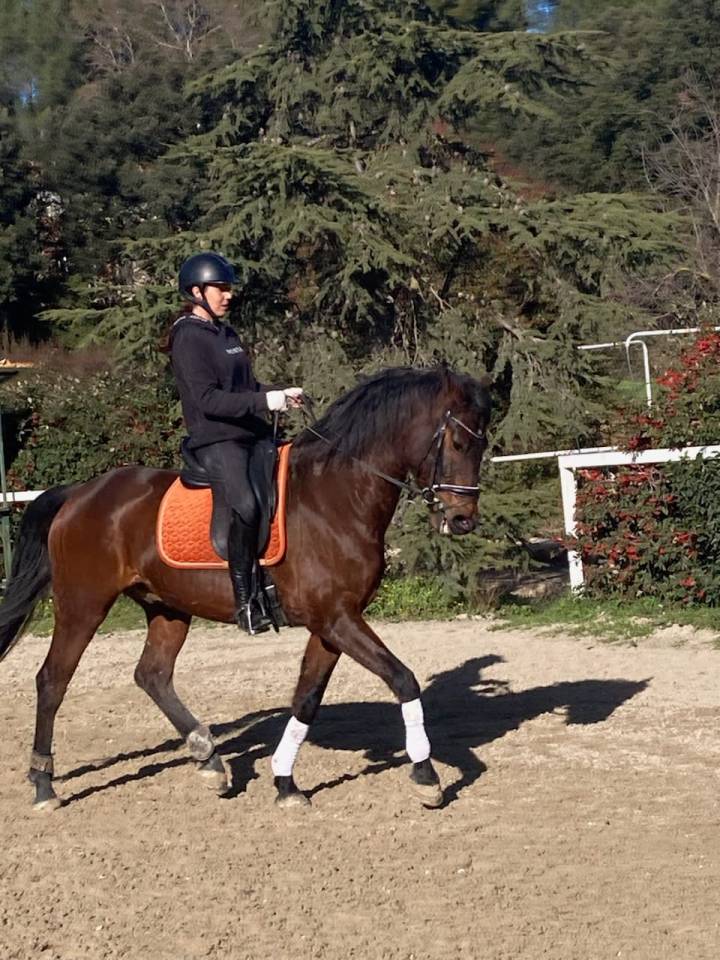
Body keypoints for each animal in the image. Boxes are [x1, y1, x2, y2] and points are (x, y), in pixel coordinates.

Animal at [0, 365, 491, 811]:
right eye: (458, 443)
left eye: (482, 445)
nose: (463, 520)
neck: (337, 497)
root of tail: (79, 493)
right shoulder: (336, 618)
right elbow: (403, 679)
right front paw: (426, 775)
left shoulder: (332, 623)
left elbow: (306, 699)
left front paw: (286, 783)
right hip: (83, 604)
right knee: (53, 680)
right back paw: (44, 785)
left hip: (168, 607)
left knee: (152, 675)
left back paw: (209, 759)